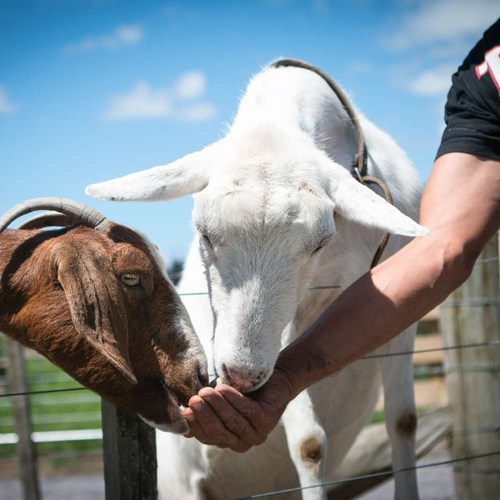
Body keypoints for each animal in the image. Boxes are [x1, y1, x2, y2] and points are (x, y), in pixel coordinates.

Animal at [86, 61, 426, 500]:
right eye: (203, 233)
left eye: (320, 242)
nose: (242, 375)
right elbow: (310, 443)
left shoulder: (396, 306)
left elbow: (403, 421)